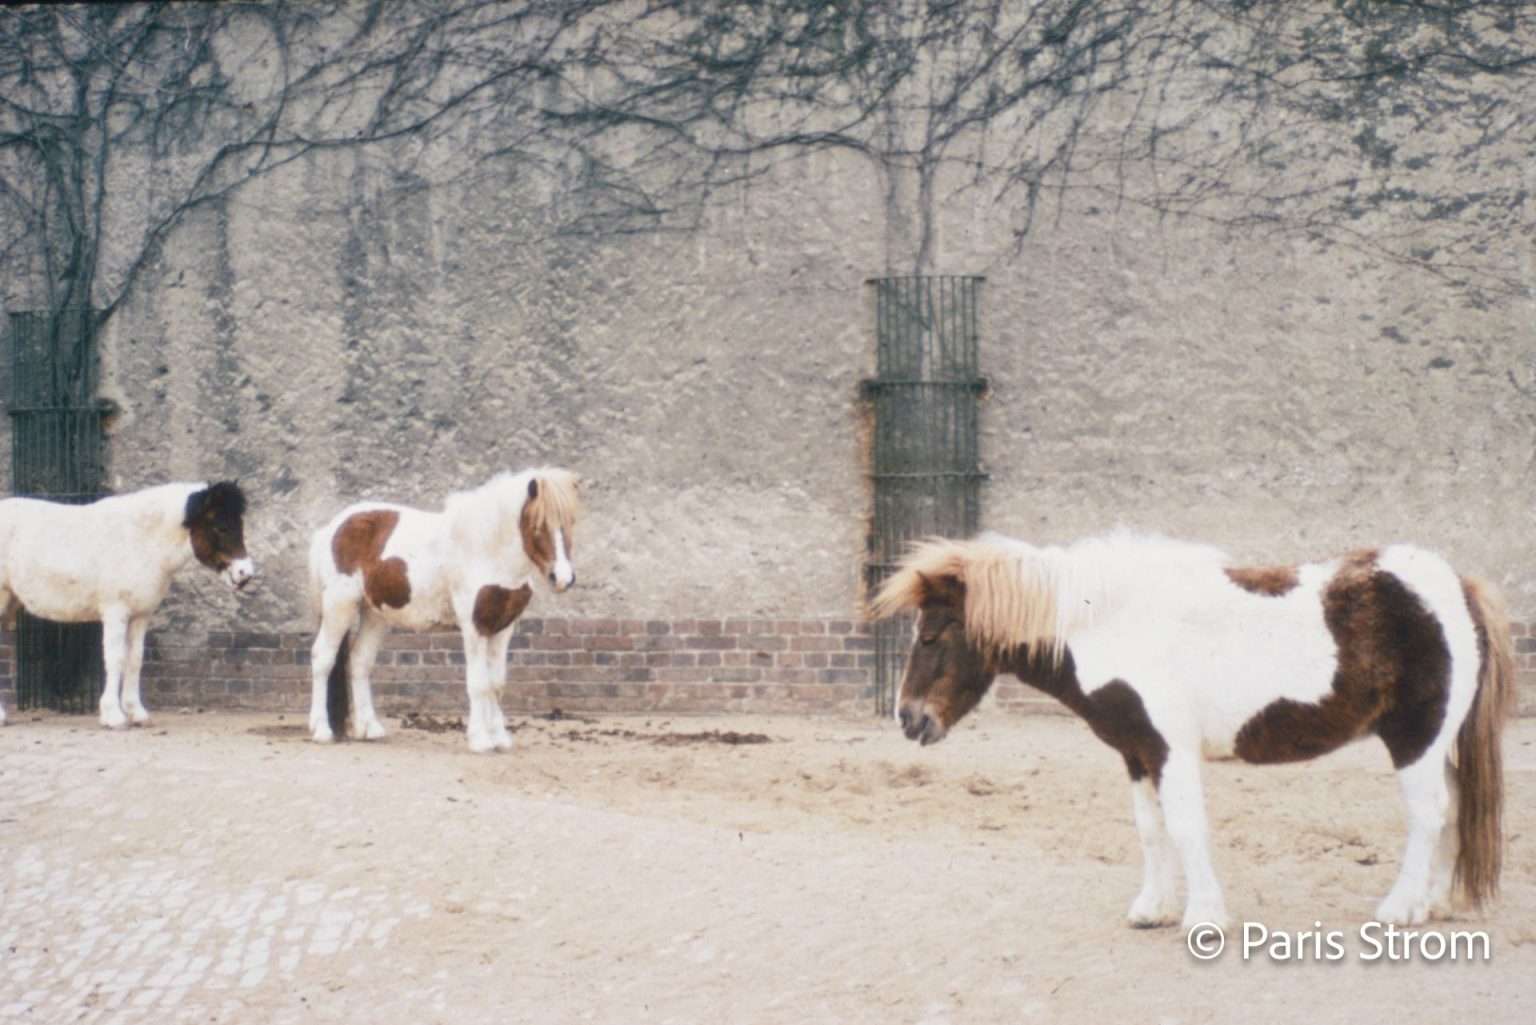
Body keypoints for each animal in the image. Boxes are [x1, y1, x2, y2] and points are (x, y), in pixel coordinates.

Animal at [0, 482, 255, 728]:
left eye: (240, 524)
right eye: (221, 526)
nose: (245, 574)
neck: (138, 541)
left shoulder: (140, 615)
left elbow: (135, 659)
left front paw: (136, 713)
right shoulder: (116, 612)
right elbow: (116, 659)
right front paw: (113, 715)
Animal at [308, 467, 580, 753]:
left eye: (570, 523)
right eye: (538, 525)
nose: (563, 578)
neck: (487, 551)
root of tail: (331, 528)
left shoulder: (503, 627)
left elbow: (496, 683)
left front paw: (500, 739)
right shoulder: (474, 627)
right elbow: (479, 683)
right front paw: (480, 740)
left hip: (374, 613)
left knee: (360, 660)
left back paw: (369, 729)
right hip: (340, 605)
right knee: (323, 658)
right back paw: (322, 730)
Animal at [871, 531, 1514, 931]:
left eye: (930, 634)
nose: (909, 718)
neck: (1113, 623)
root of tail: (1457, 587)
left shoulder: (1169, 749)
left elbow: (1185, 828)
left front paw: (1204, 916)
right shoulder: (1136, 753)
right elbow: (1152, 831)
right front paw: (1152, 909)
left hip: (1415, 738)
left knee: (1429, 814)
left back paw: (1400, 908)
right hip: (1437, 743)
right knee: (1454, 809)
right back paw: (1433, 903)